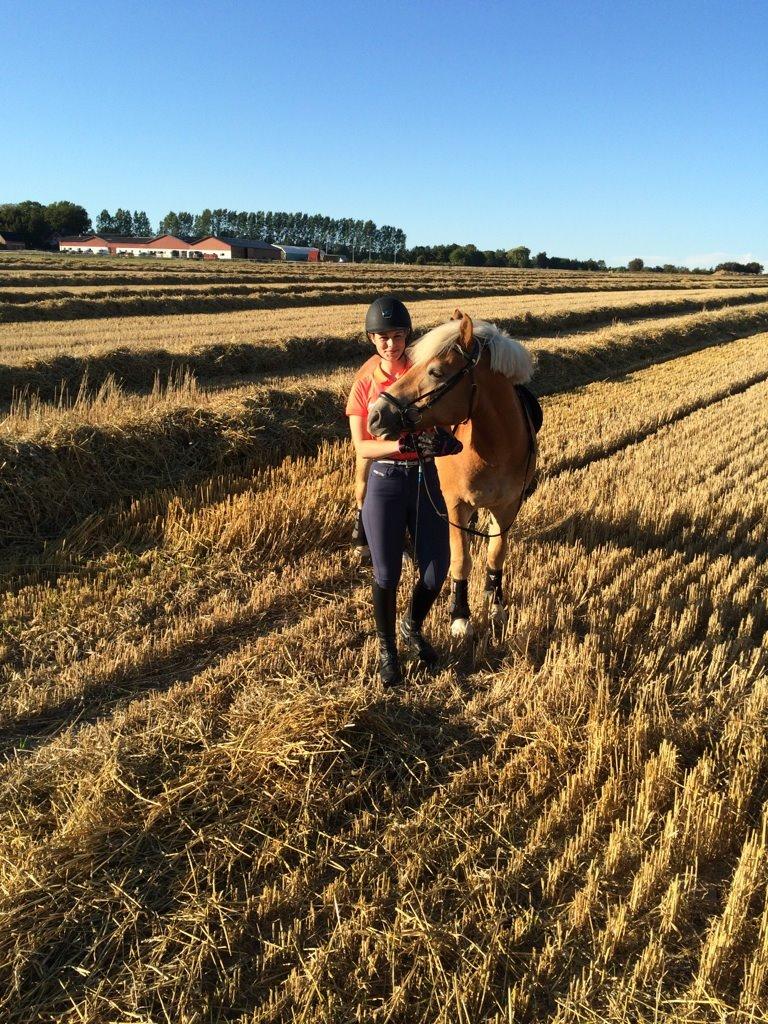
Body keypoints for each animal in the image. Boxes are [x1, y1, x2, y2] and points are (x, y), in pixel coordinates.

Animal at [364, 307, 536, 634]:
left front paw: (495, 604)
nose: (375, 414)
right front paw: (460, 615)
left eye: (435, 372)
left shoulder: (508, 507)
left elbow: (496, 553)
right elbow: (461, 560)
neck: (494, 449)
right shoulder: (455, 506)